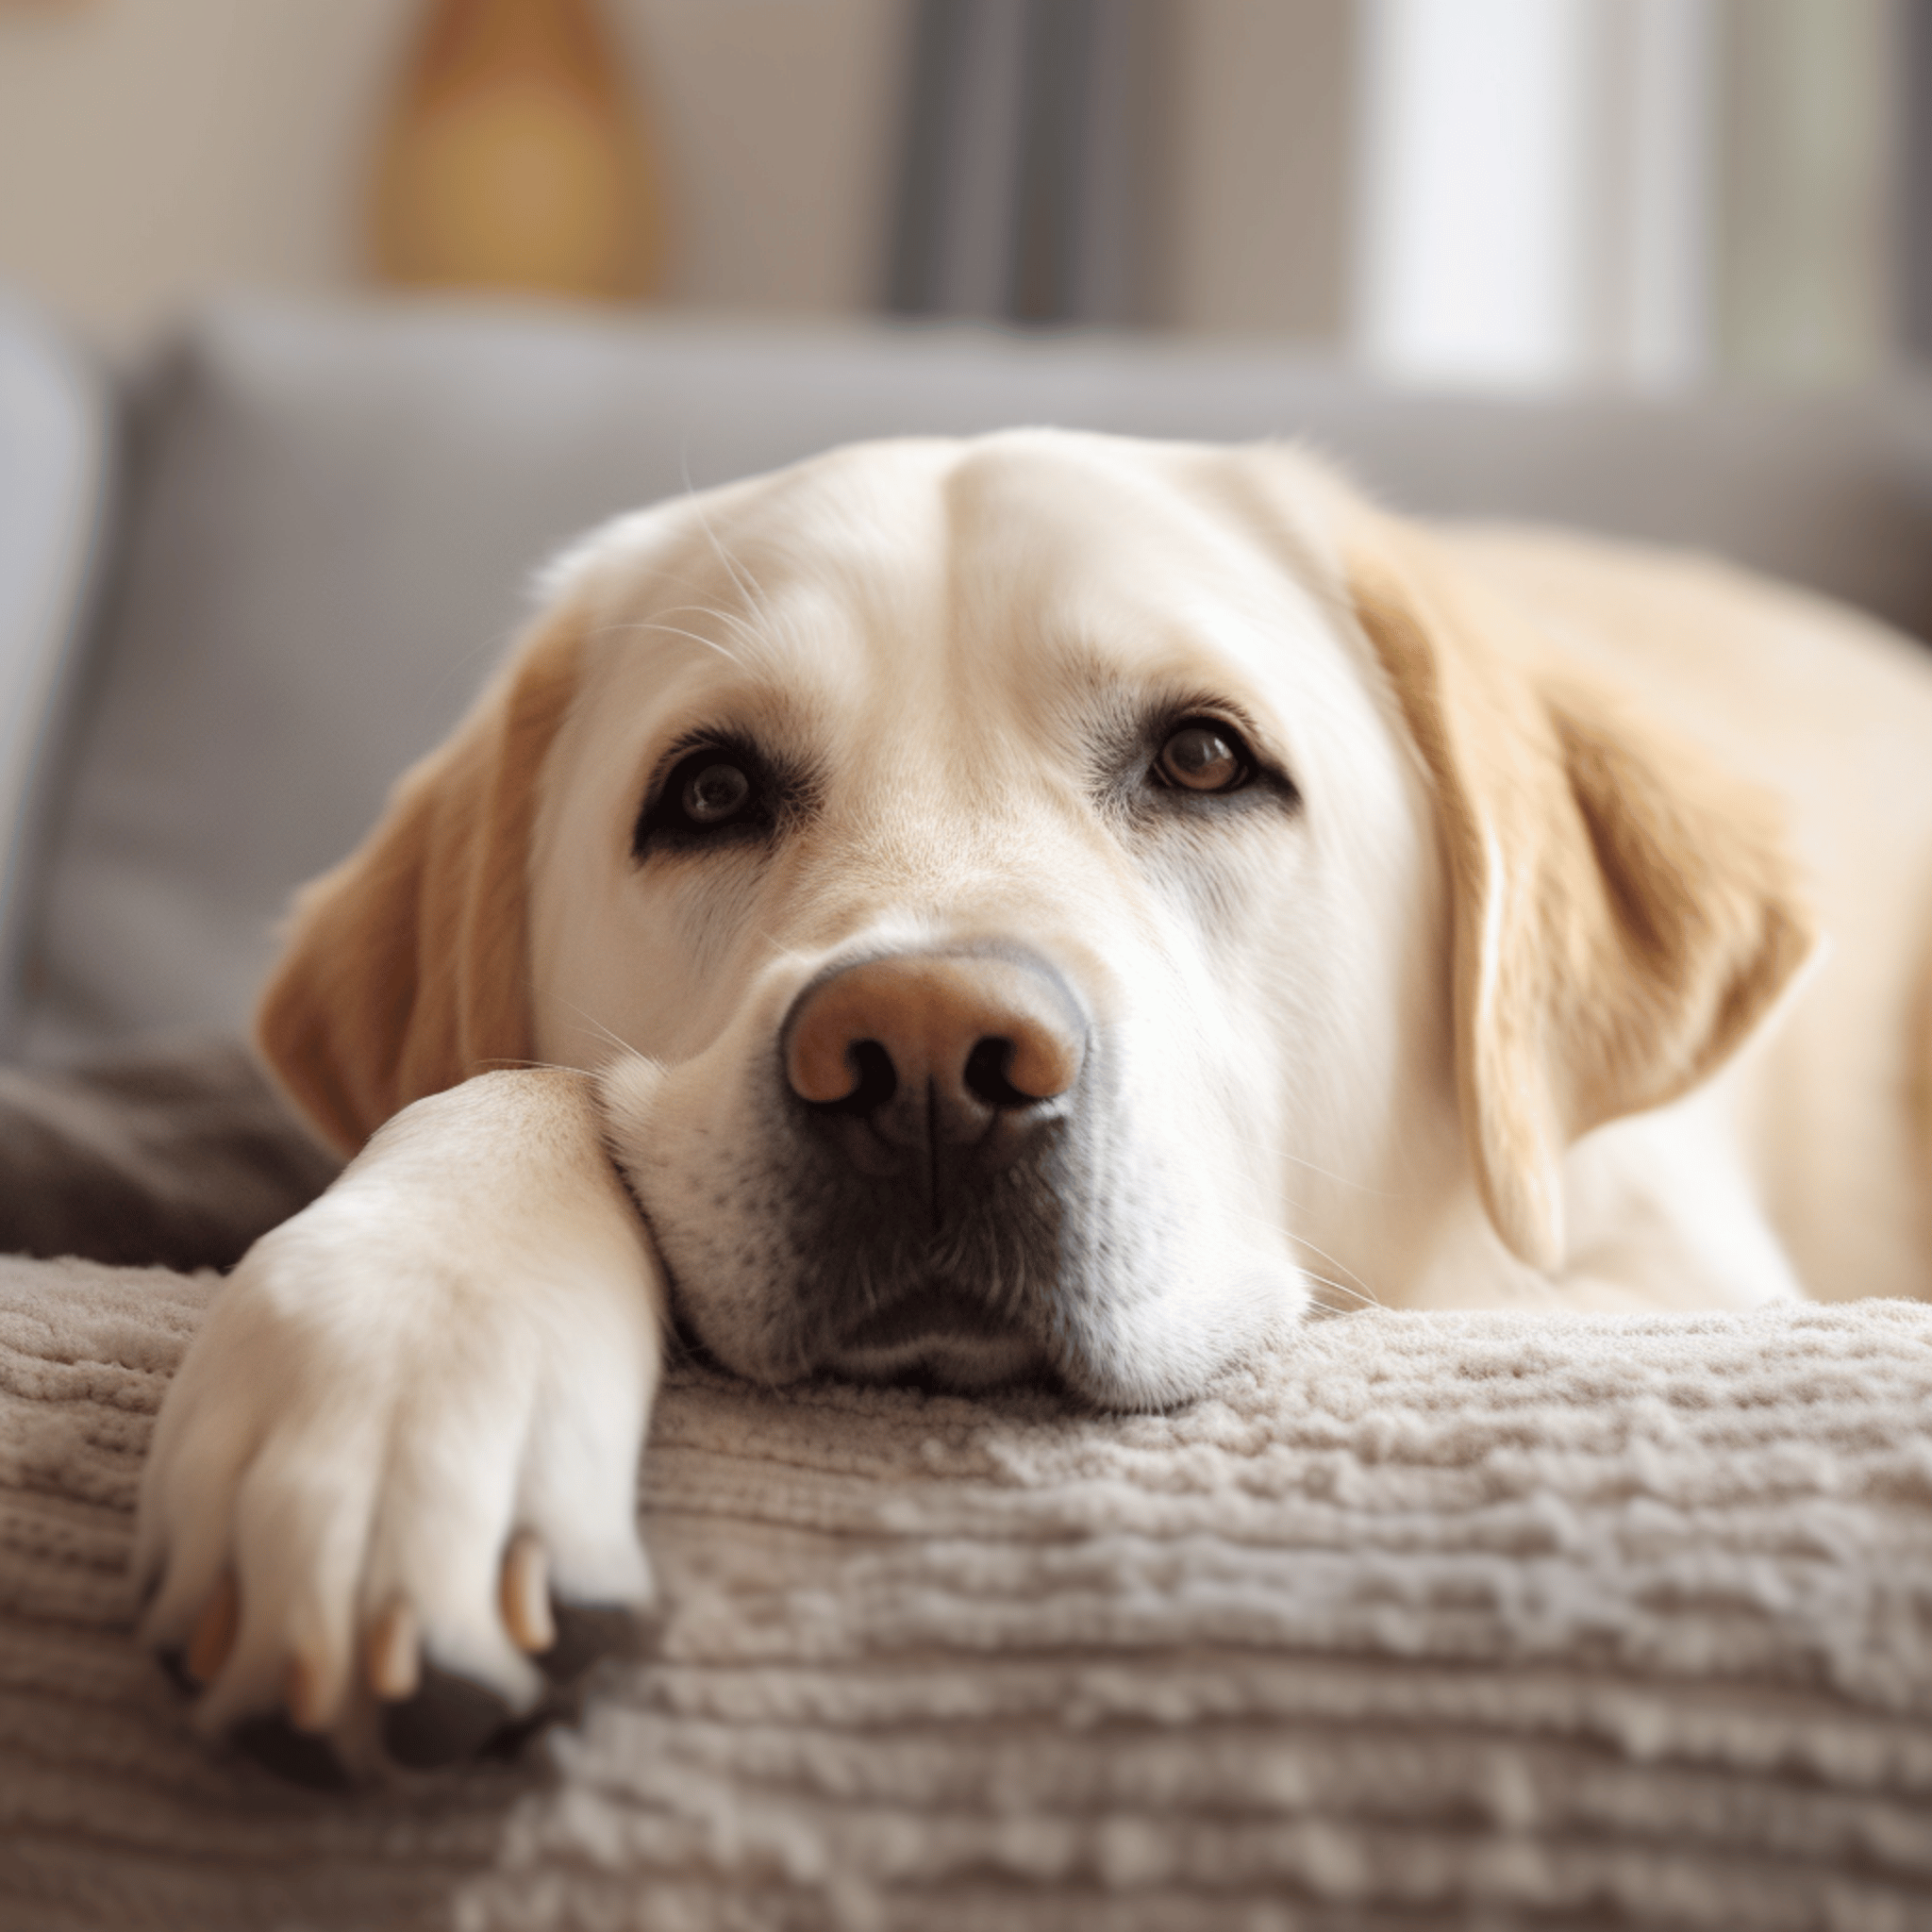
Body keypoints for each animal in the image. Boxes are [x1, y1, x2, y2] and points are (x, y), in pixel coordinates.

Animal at [132, 426, 1932, 1777]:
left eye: (1205, 757)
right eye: (707, 791)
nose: (924, 1061)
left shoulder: (1654, 1275)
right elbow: (528, 1094)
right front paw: (395, 1373)